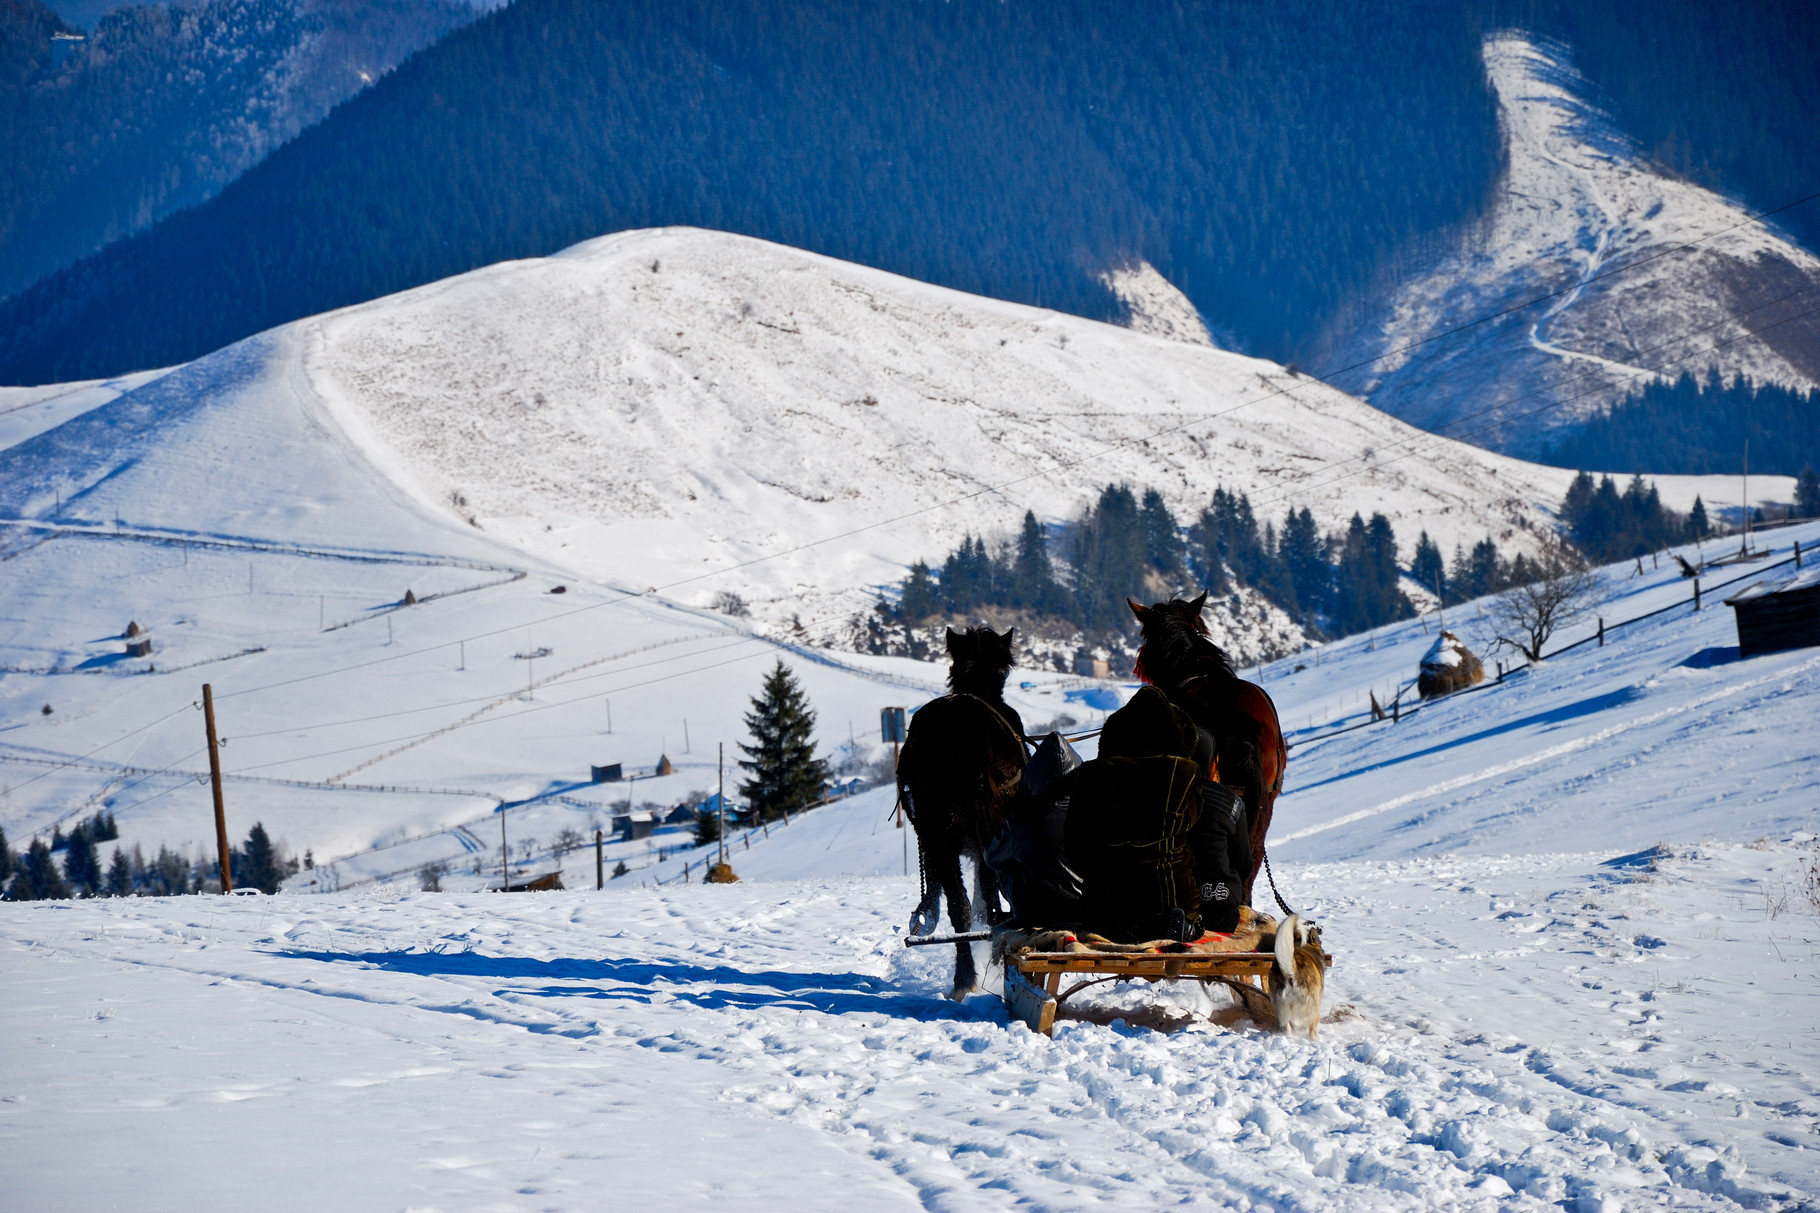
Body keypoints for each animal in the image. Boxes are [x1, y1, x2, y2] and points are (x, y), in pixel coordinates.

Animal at [899, 619, 1033, 998]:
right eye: (1004, 672)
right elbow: (985, 893)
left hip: (940, 833)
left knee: (961, 906)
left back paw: (963, 978)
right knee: (983, 899)